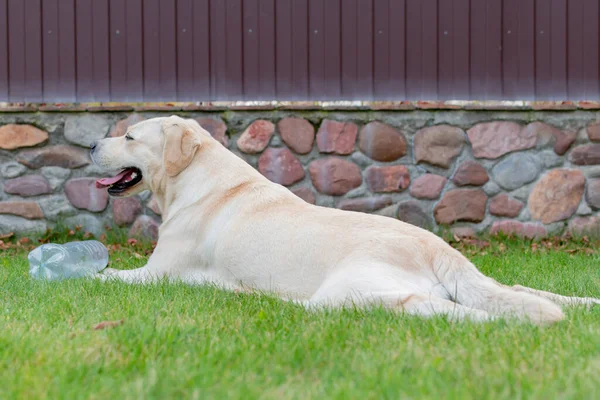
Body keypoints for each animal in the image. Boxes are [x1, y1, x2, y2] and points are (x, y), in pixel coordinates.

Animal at [90, 115, 600, 324]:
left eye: (130, 136)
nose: (92, 144)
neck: (194, 178)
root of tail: (436, 248)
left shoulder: (155, 273)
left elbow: (107, 275)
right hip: (480, 279)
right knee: (516, 289)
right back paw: (583, 305)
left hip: (345, 293)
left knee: (433, 308)